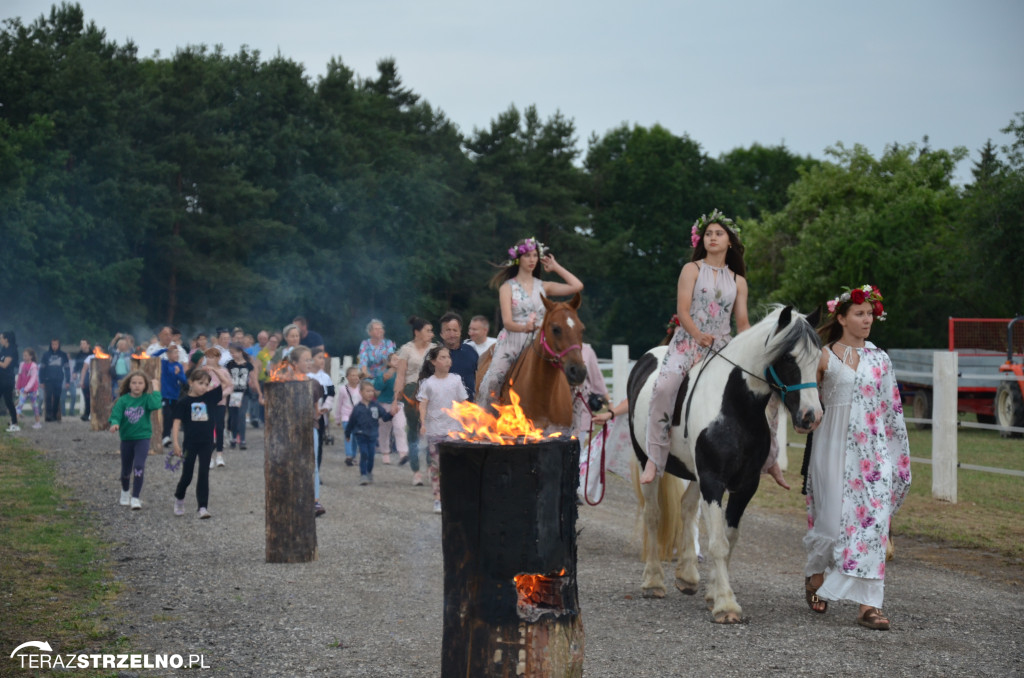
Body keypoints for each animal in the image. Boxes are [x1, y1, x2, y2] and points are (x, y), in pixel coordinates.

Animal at [626, 305, 819, 622]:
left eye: (818, 357)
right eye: (788, 358)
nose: (811, 416)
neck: (734, 407)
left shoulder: (745, 485)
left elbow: (729, 539)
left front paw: (714, 592)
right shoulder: (713, 480)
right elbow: (717, 542)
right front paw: (726, 605)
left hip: (694, 474)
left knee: (687, 509)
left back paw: (687, 576)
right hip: (649, 464)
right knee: (652, 515)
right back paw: (653, 581)